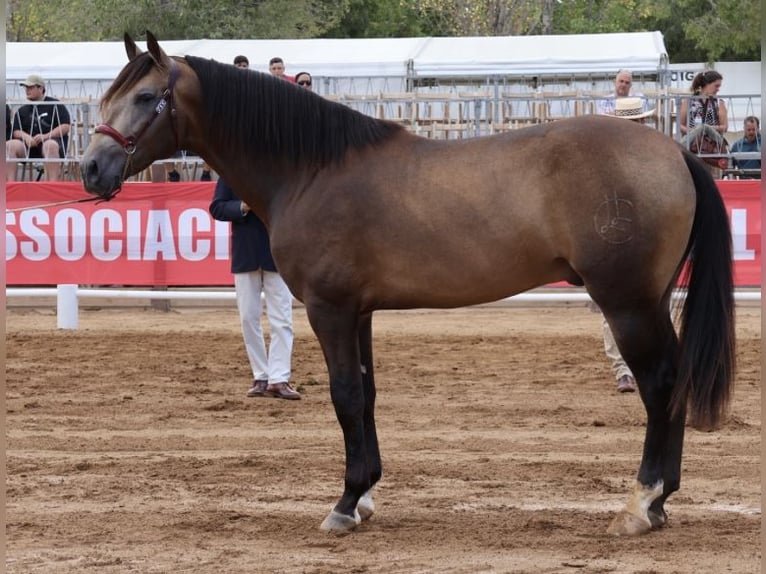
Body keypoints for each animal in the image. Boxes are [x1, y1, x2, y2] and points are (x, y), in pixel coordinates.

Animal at [79, 33, 736, 536]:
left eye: (145, 97)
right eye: (109, 95)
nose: (89, 169)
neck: (311, 169)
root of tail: (674, 154)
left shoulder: (329, 309)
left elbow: (345, 395)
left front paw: (344, 504)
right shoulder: (360, 312)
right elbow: (367, 395)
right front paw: (367, 494)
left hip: (626, 305)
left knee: (659, 383)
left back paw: (642, 503)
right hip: (646, 303)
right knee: (670, 382)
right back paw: (661, 501)